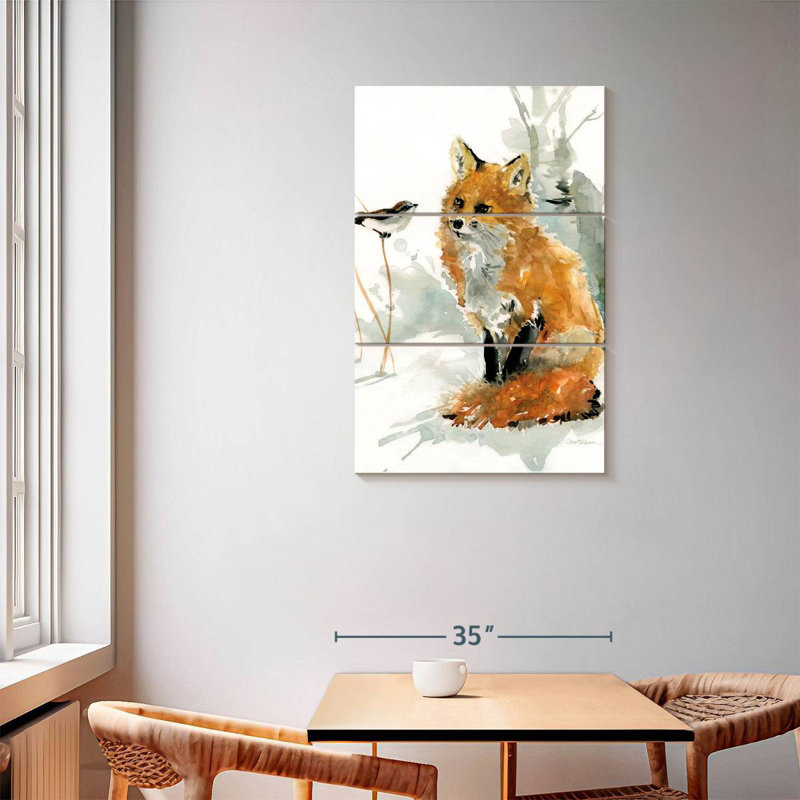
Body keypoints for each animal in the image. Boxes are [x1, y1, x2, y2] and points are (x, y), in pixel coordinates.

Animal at [437, 138, 604, 429]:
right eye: (459, 201)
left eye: (483, 208)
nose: (456, 223)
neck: (485, 269)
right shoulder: (489, 323)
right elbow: (493, 368)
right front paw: (492, 391)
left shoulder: (531, 314)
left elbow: (513, 370)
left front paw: (502, 399)